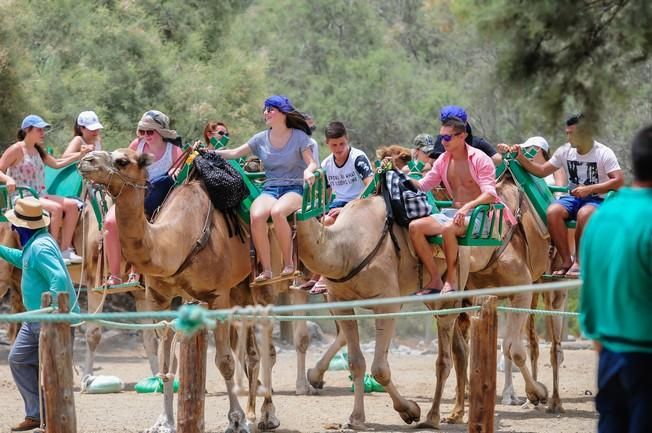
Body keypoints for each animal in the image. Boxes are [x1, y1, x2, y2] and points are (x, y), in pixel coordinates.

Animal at [78, 149, 288, 432]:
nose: (86, 160)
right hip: (239, 289)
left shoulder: (217, 296)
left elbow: (224, 361)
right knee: (251, 352)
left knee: (267, 345)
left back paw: (267, 415)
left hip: (264, 279)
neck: (177, 240)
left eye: (122, 160)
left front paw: (235, 419)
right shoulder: (159, 299)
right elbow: (168, 363)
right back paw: (254, 414)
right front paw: (164, 421)